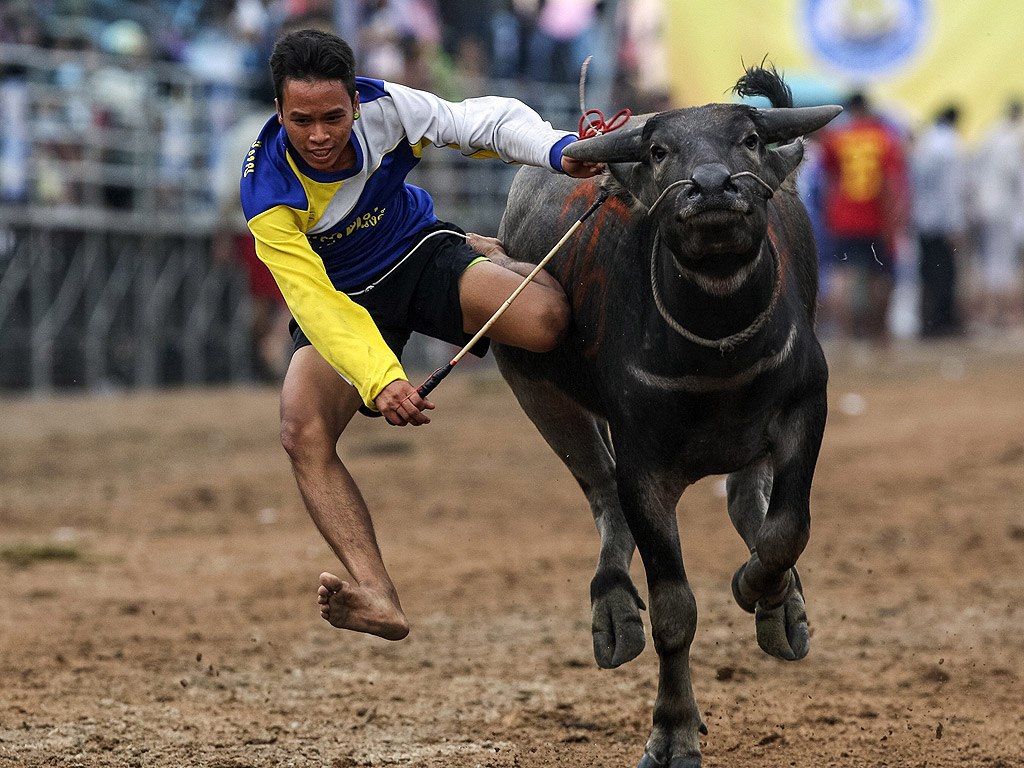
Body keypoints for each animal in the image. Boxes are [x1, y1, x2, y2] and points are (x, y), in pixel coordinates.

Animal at [493, 67, 839, 768]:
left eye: (749, 139)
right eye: (659, 151)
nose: (711, 188)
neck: (717, 342)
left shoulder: (805, 408)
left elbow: (786, 529)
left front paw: (761, 591)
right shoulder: (643, 466)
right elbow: (674, 608)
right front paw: (672, 731)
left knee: (746, 500)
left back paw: (782, 609)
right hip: (537, 392)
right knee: (602, 495)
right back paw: (613, 612)